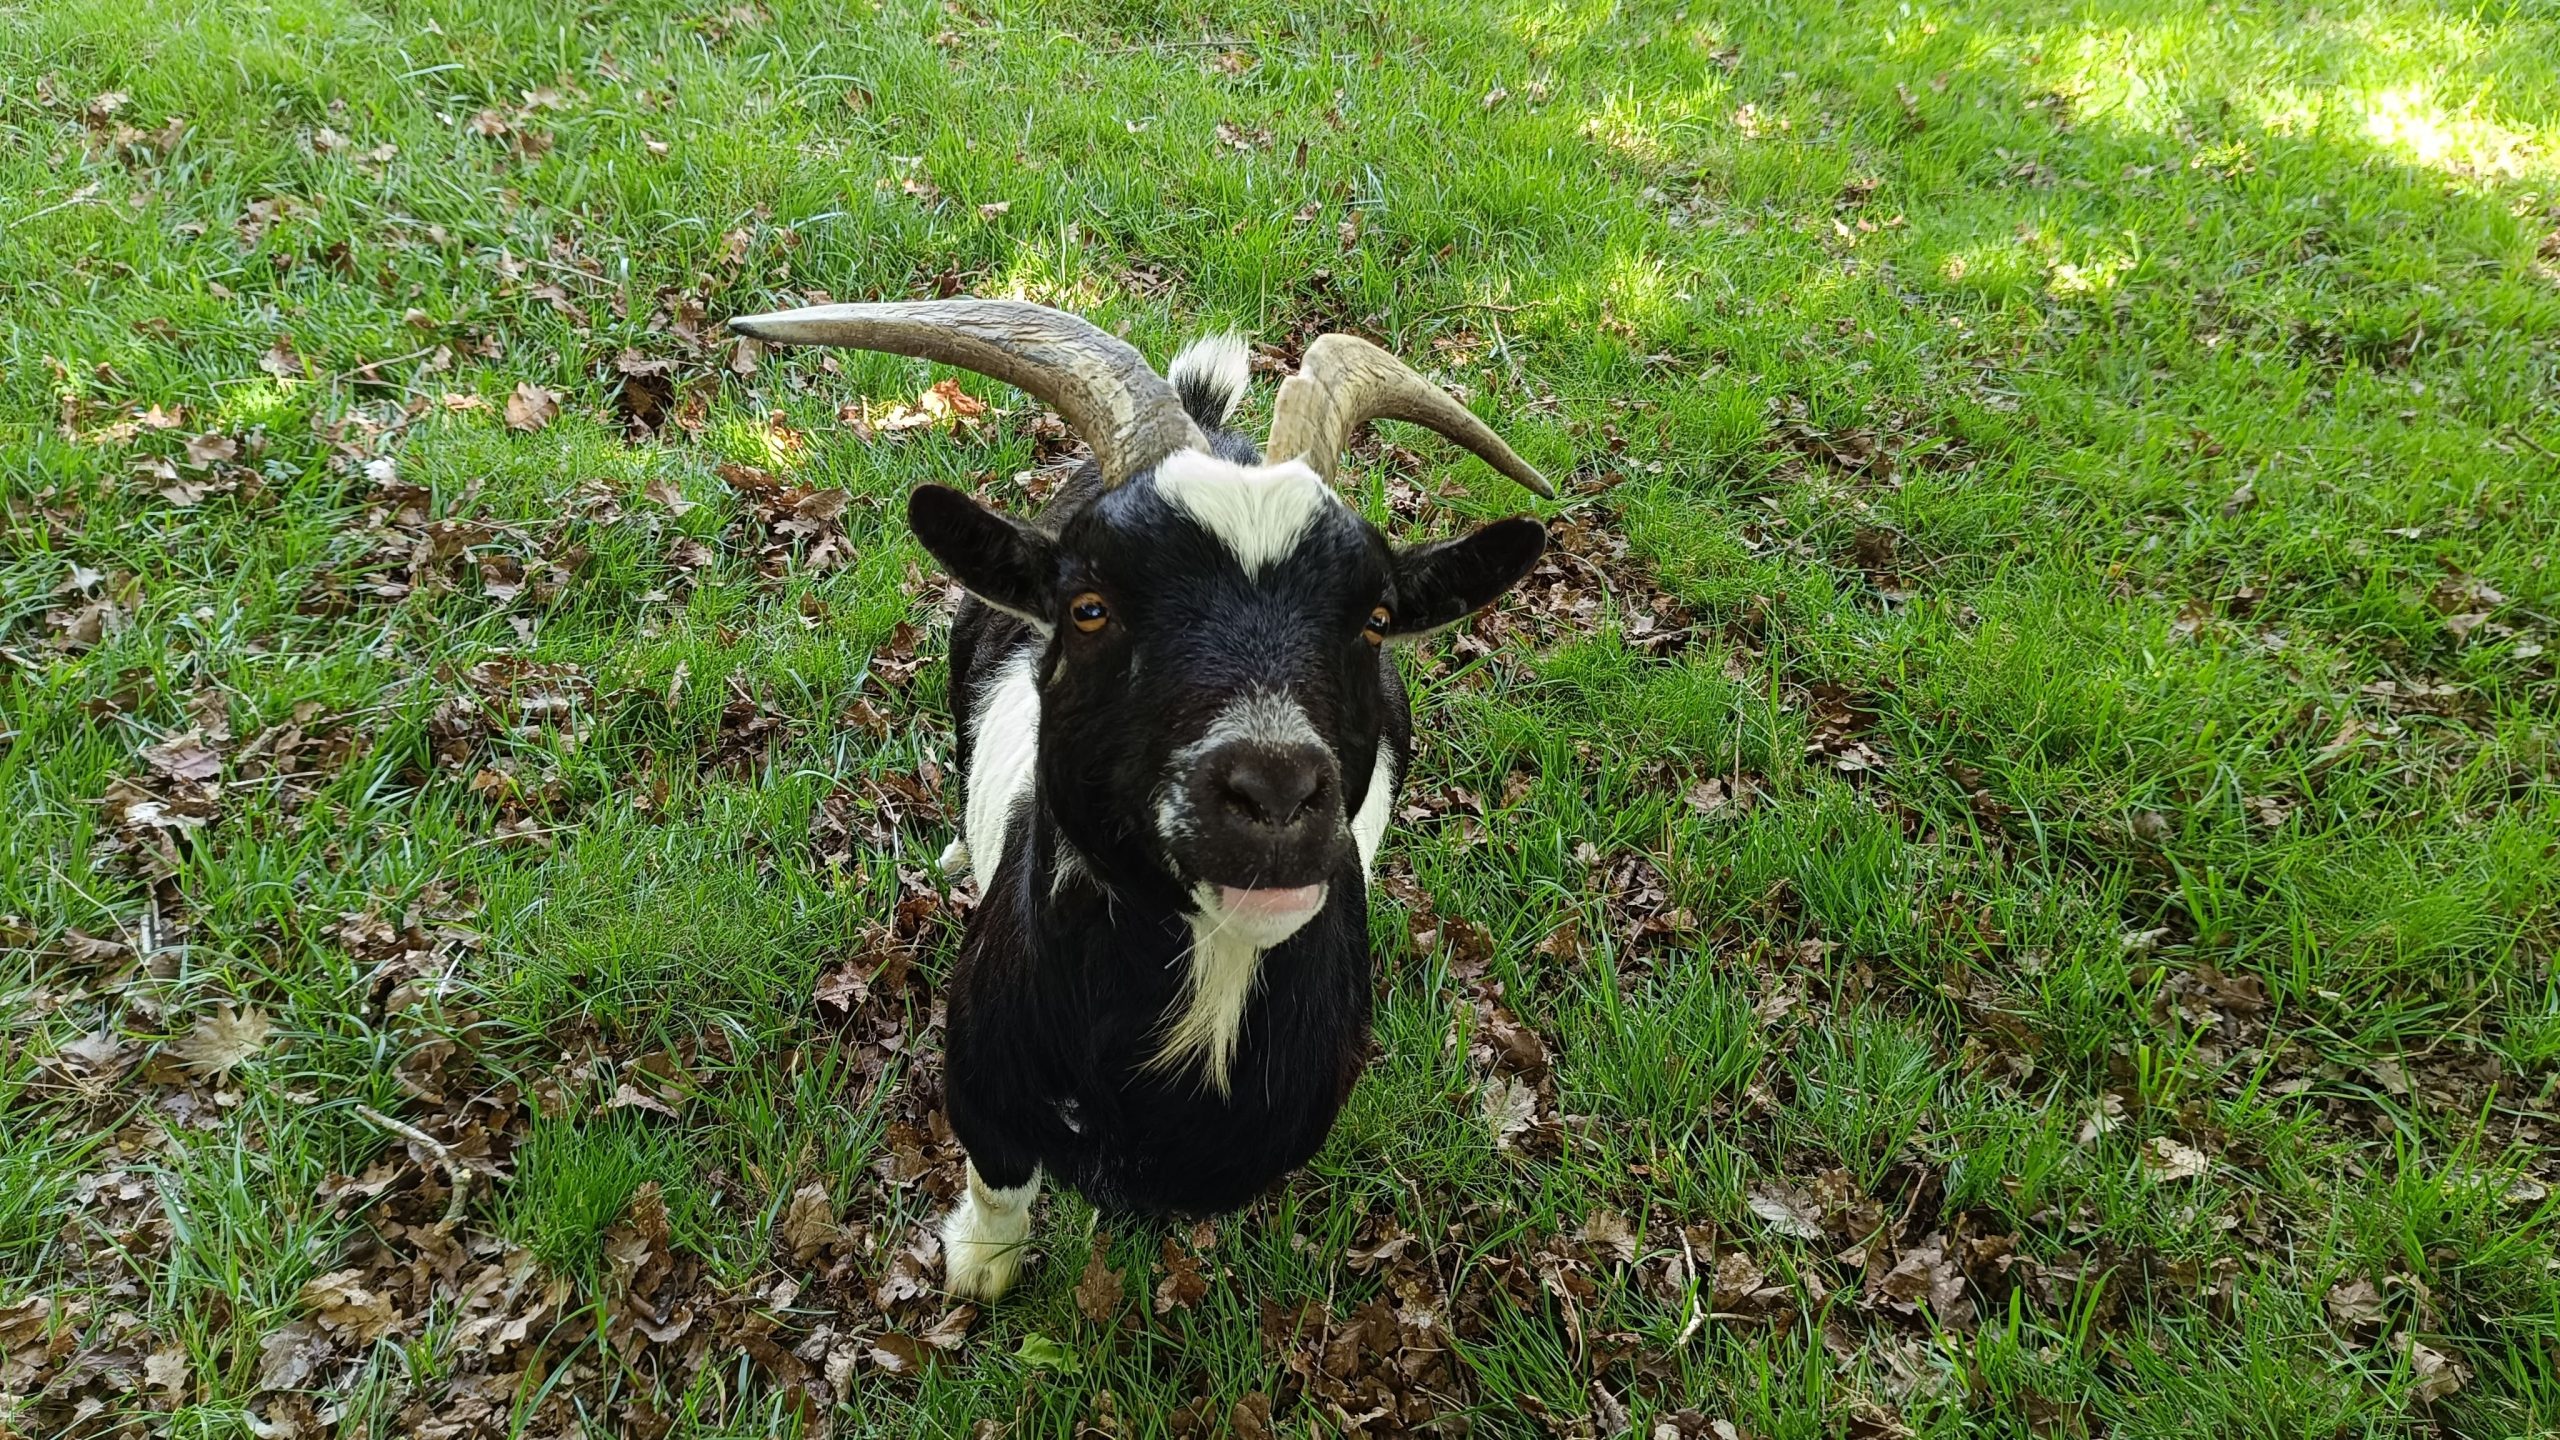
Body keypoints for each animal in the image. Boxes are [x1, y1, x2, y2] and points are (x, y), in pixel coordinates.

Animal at [725, 300, 1555, 1299]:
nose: (1277, 792)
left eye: (1376, 619)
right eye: (1090, 608)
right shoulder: (985, 1086)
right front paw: (980, 1268)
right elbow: (998, 1182)